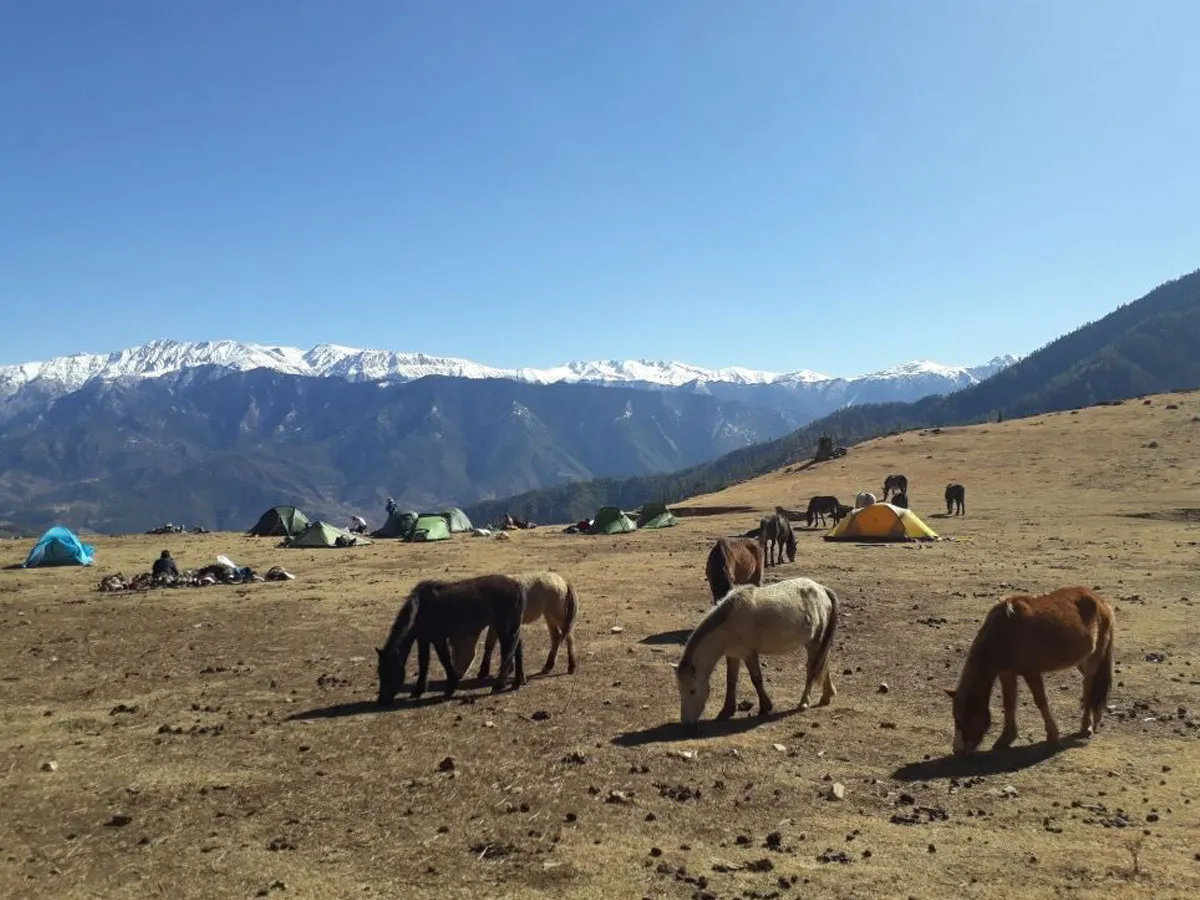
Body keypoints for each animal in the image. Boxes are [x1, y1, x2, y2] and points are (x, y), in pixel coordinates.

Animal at [376, 573, 526, 704]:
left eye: (390, 672)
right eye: (379, 672)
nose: (382, 701)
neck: (420, 608)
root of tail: (516, 585)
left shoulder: (438, 638)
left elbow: (444, 659)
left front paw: (450, 688)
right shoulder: (423, 639)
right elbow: (423, 662)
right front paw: (418, 690)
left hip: (505, 628)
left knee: (509, 652)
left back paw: (499, 685)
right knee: (517, 649)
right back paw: (517, 681)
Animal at [674, 577, 839, 727]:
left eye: (693, 691)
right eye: (680, 690)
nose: (686, 724)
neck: (729, 625)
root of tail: (822, 589)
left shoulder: (749, 653)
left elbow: (756, 679)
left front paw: (765, 707)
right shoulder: (733, 655)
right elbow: (731, 680)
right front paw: (726, 711)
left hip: (814, 642)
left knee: (812, 670)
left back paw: (804, 702)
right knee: (823, 665)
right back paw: (826, 697)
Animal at [944, 586, 1115, 755]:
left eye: (967, 715)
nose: (957, 750)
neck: (1005, 632)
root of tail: (1102, 602)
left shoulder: (1031, 672)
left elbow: (1040, 701)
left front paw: (1053, 736)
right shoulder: (1006, 673)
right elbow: (1009, 702)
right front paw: (1006, 738)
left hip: (1094, 658)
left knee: (1090, 685)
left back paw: (1086, 726)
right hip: (1081, 661)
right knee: (1090, 685)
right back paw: (1095, 718)